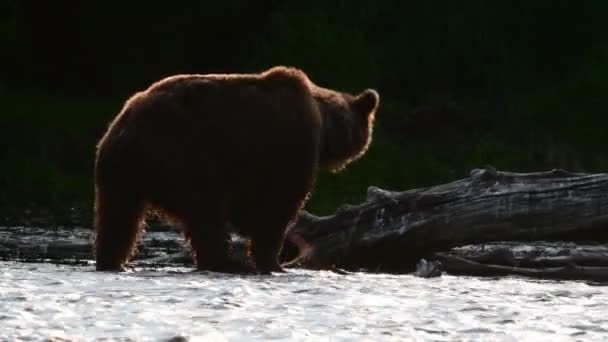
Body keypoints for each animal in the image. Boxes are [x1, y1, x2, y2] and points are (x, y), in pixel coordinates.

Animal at [92, 66, 378, 276]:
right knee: (206, 211)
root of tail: (125, 129)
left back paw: (111, 261)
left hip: (120, 173)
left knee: (118, 218)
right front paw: (273, 262)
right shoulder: (290, 148)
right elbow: (276, 207)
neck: (324, 124)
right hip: (182, 155)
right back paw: (228, 263)